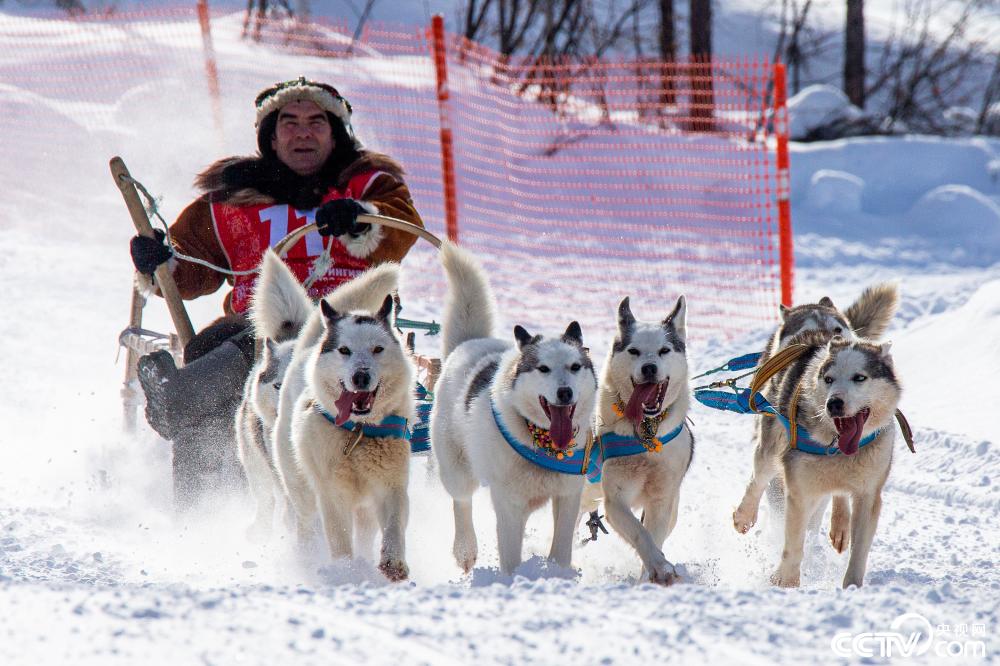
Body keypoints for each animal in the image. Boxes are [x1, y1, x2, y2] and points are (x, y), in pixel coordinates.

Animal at [258, 246, 418, 580]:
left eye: (377, 349)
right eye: (344, 350)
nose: (360, 376)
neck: (358, 431)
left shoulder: (391, 485)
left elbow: (394, 525)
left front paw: (393, 562)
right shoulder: (332, 493)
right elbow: (338, 537)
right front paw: (344, 571)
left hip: (365, 507)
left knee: (366, 532)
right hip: (301, 487)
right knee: (307, 523)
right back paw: (308, 558)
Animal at [434, 241, 596, 572]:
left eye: (575, 367)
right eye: (543, 368)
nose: (565, 392)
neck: (542, 445)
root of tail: (470, 342)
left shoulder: (569, 494)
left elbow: (561, 548)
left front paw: (557, 574)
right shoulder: (509, 505)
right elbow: (510, 557)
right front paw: (513, 580)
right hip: (456, 469)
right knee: (462, 501)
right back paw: (465, 548)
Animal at [588, 296, 692, 580]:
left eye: (664, 350)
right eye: (634, 351)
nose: (649, 367)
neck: (645, 433)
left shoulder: (661, 501)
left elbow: (653, 537)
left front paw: (652, 574)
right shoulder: (615, 500)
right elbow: (640, 533)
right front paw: (659, 567)